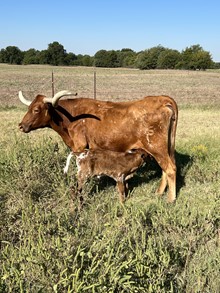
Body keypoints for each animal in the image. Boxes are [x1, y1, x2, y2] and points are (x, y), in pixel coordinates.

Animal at [18, 90, 178, 202]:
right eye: (28, 108)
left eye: (36, 110)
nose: (21, 125)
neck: (71, 117)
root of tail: (160, 99)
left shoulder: (80, 147)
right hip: (165, 149)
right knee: (165, 169)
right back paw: (159, 193)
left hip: (157, 148)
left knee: (170, 169)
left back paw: (170, 199)